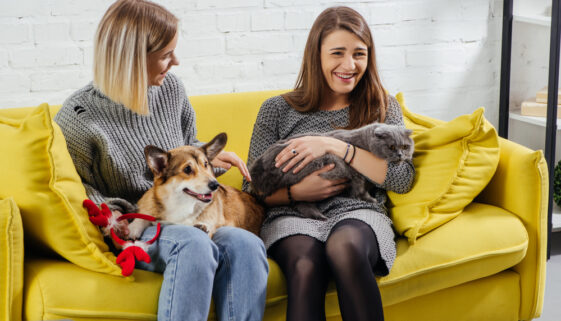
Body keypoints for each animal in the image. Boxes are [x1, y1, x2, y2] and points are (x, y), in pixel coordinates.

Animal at [128, 131, 264, 239]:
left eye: (206, 164)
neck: (181, 204)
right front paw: (134, 227)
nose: (215, 185)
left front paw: (201, 227)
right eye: (187, 169)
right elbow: (143, 216)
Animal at [248, 122, 412, 220]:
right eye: (391, 147)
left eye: (405, 146)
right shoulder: (355, 174)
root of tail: (256, 171)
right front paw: (370, 199)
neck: (363, 145)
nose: (400, 155)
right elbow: (360, 189)